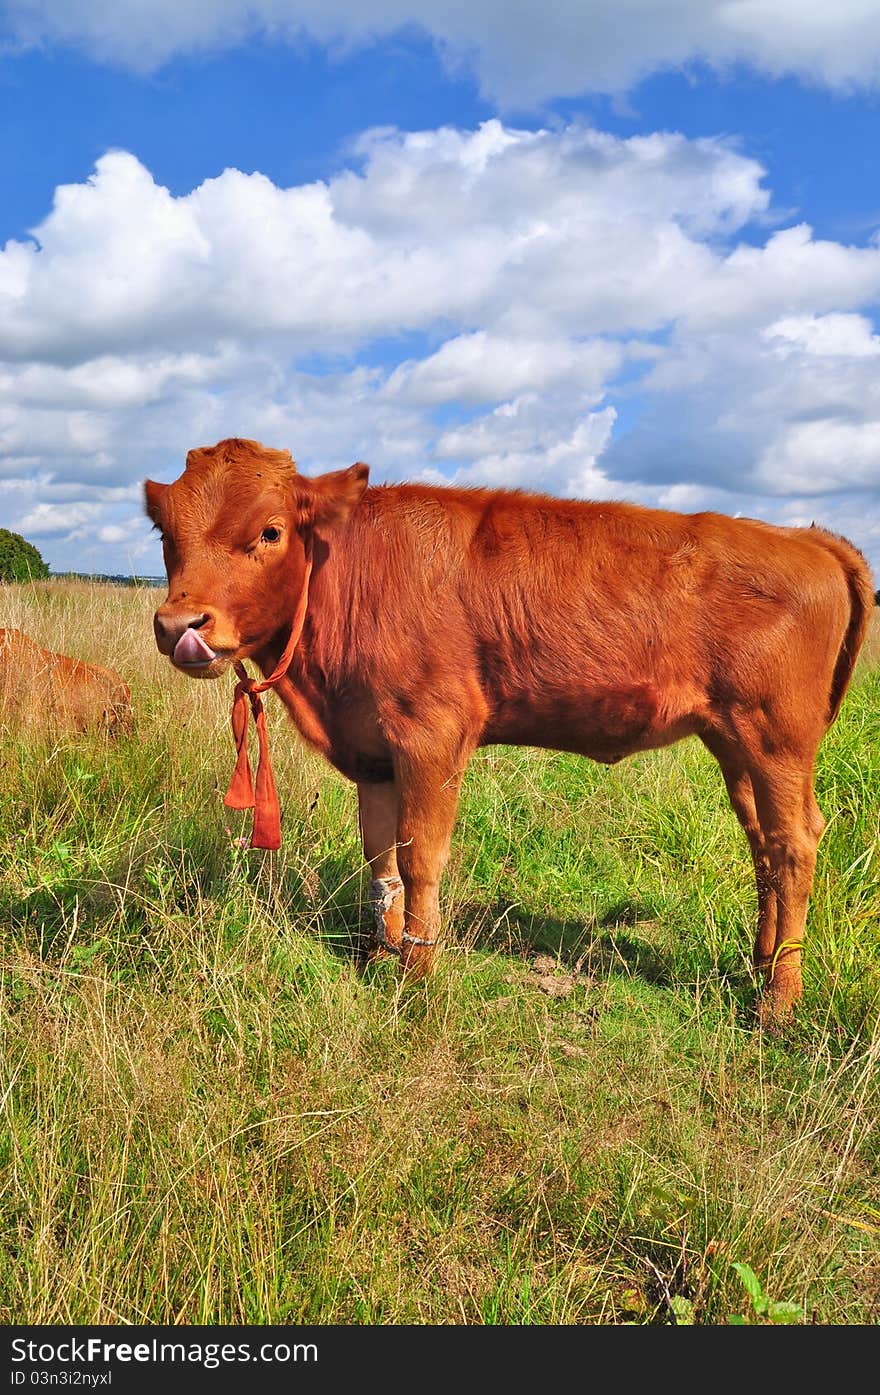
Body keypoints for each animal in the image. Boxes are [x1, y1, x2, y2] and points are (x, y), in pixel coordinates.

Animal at [144, 438, 875, 1026]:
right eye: (164, 535)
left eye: (270, 532)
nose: (180, 624)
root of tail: (804, 538)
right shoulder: (372, 750)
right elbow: (381, 858)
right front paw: (379, 955)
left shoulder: (431, 734)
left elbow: (421, 856)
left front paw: (418, 974)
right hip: (734, 743)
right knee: (763, 846)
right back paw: (759, 965)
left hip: (778, 740)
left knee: (793, 844)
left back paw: (778, 1001)